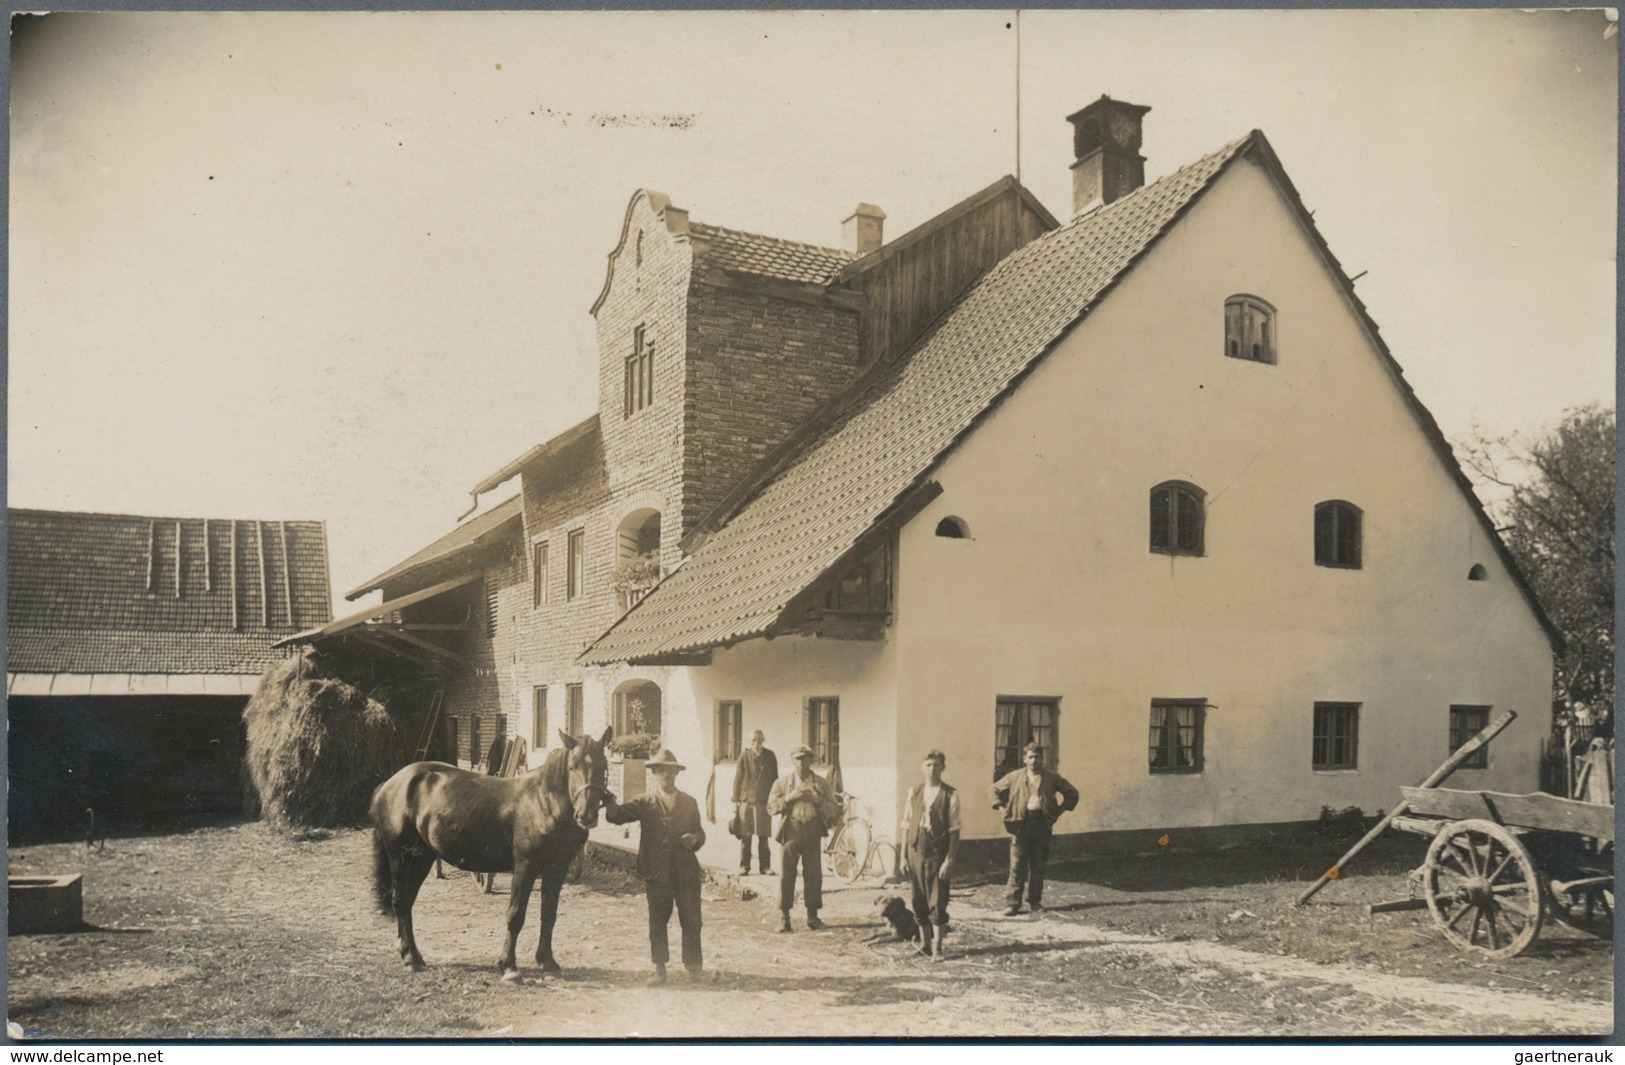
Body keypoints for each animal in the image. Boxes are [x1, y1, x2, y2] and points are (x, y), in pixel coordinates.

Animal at [372, 725, 611, 982]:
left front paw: (546, 960)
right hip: (400, 856)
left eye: (603, 766)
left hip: (422, 858)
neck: (544, 801)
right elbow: (516, 914)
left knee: (407, 902)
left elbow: (549, 914)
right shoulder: (525, 865)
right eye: (572, 767)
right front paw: (509, 966)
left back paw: (412, 954)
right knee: (400, 900)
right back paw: (409, 958)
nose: (586, 815)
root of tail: (391, 784)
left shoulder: (557, 869)